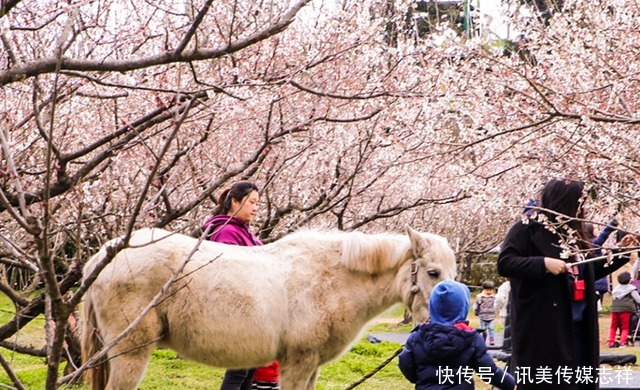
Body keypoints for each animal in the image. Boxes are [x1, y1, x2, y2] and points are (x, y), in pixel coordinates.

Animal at [80, 227, 458, 388]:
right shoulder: (297, 363)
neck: (330, 278)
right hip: (131, 354)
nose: (447, 324)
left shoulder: (311, 366)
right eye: (432, 273)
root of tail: (104, 257)